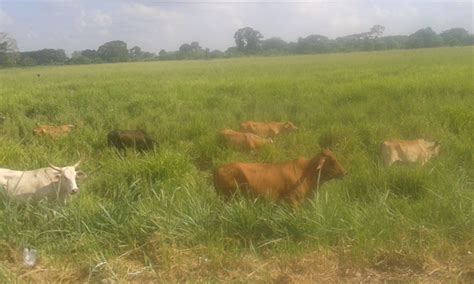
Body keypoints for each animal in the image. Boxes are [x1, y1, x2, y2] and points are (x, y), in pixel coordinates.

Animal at [213, 149, 346, 206]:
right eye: (333, 161)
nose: (344, 172)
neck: (306, 172)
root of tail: (219, 169)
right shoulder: (293, 201)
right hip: (229, 198)